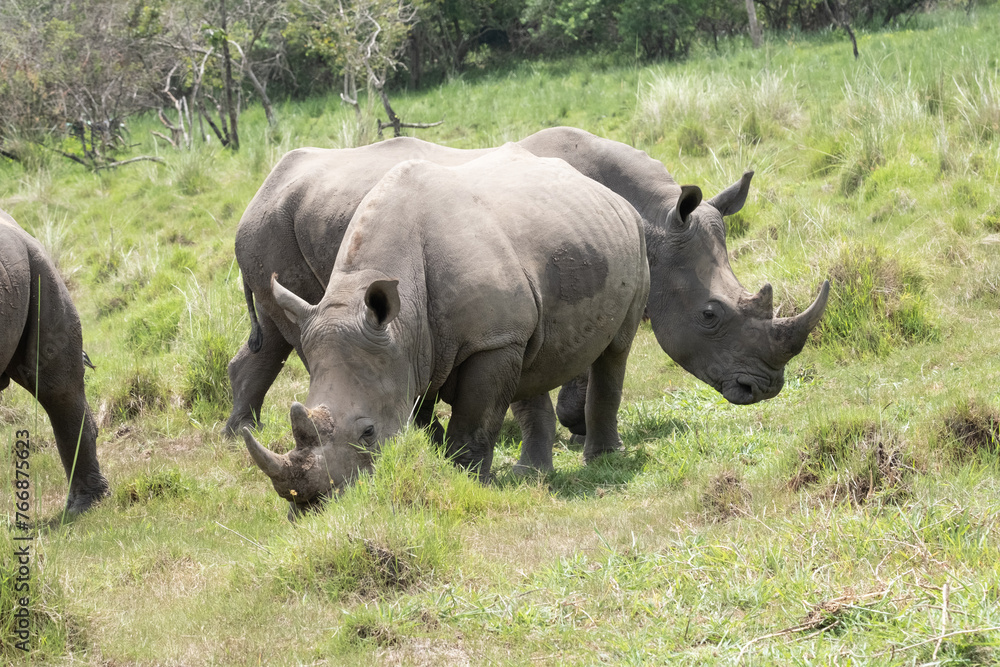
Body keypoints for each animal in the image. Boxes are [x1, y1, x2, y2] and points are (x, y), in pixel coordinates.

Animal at [228, 126, 828, 472]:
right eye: (709, 316)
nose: (763, 388)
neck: (654, 220)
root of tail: (260, 188)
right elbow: (571, 368)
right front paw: (574, 425)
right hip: (273, 227)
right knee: (287, 331)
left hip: (288, 224)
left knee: (277, 335)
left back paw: (240, 434)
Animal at [241, 146, 649, 511]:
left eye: (368, 432)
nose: (310, 504)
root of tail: (605, 191)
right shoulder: (408, 351)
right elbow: (418, 417)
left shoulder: (488, 342)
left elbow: (473, 423)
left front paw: (464, 483)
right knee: (531, 361)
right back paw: (531, 475)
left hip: (634, 239)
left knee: (616, 350)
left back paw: (602, 459)